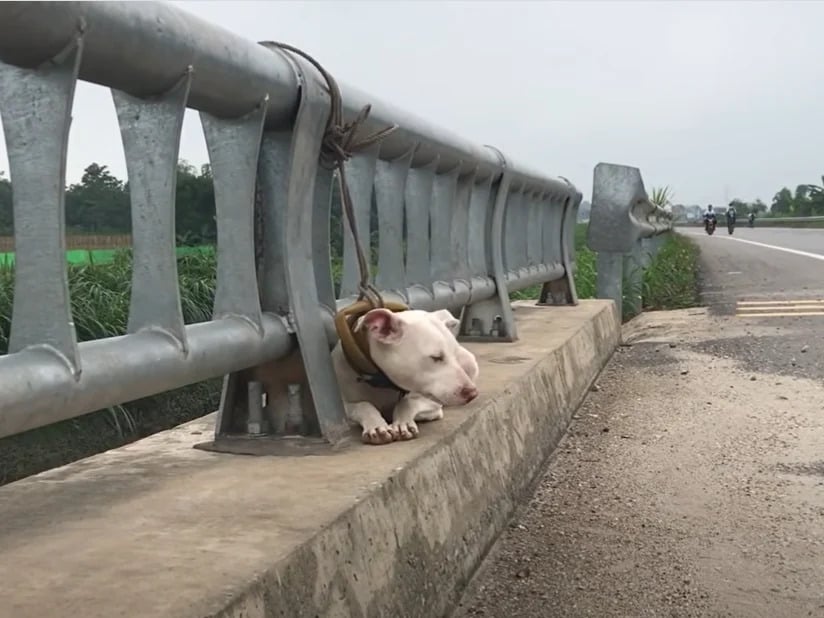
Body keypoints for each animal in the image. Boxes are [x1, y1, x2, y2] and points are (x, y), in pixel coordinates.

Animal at [332, 306, 480, 442]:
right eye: (436, 357)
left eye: (454, 354)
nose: (473, 393)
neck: (382, 381)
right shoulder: (344, 407)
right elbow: (363, 405)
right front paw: (377, 425)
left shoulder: (433, 405)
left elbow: (407, 401)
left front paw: (402, 423)